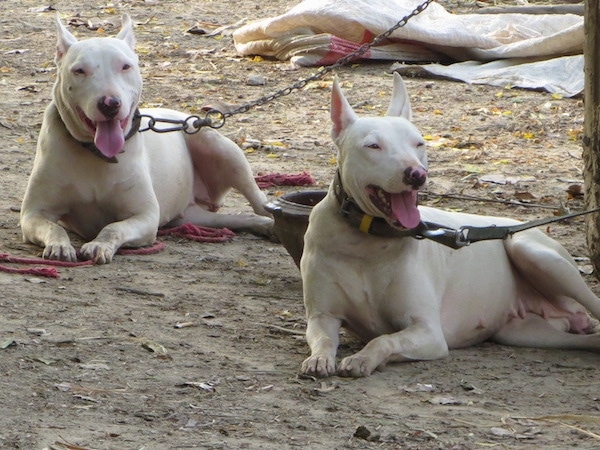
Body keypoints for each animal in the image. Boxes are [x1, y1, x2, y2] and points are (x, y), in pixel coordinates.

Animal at [18, 14, 272, 264]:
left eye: (125, 66)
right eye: (79, 70)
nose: (110, 103)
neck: (97, 153)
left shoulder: (145, 216)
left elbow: (113, 228)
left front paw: (100, 245)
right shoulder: (33, 214)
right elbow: (54, 228)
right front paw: (59, 246)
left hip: (216, 145)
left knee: (257, 198)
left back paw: (272, 221)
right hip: (192, 216)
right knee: (233, 219)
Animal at [300, 73, 600, 376]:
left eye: (419, 144)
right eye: (373, 146)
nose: (417, 174)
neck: (367, 241)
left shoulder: (429, 333)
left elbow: (384, 340)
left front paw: (362, 358)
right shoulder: (322, 316)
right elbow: (323, 337)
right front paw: (319, 359)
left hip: (532, 251)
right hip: (525, 331)